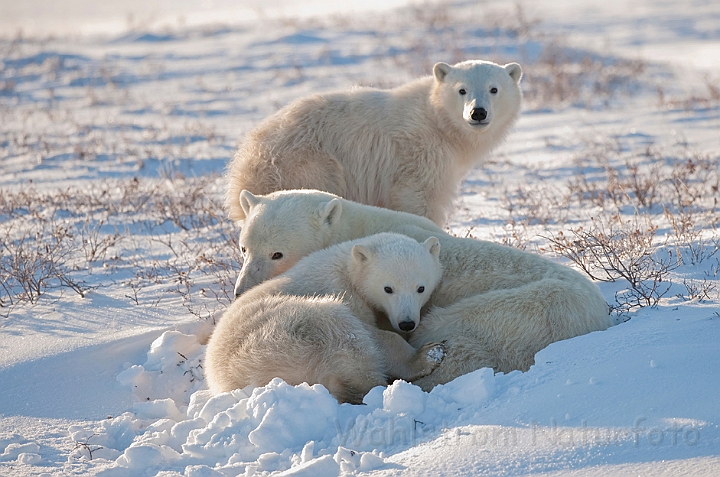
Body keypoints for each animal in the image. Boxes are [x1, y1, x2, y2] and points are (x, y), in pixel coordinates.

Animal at [226, 58, 524, 226]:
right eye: (462, 90)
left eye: (494, 89)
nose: (478, 113)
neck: (438, 122)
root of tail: (245, 162)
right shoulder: (418, 154)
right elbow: (418, 199)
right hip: (309, 166)